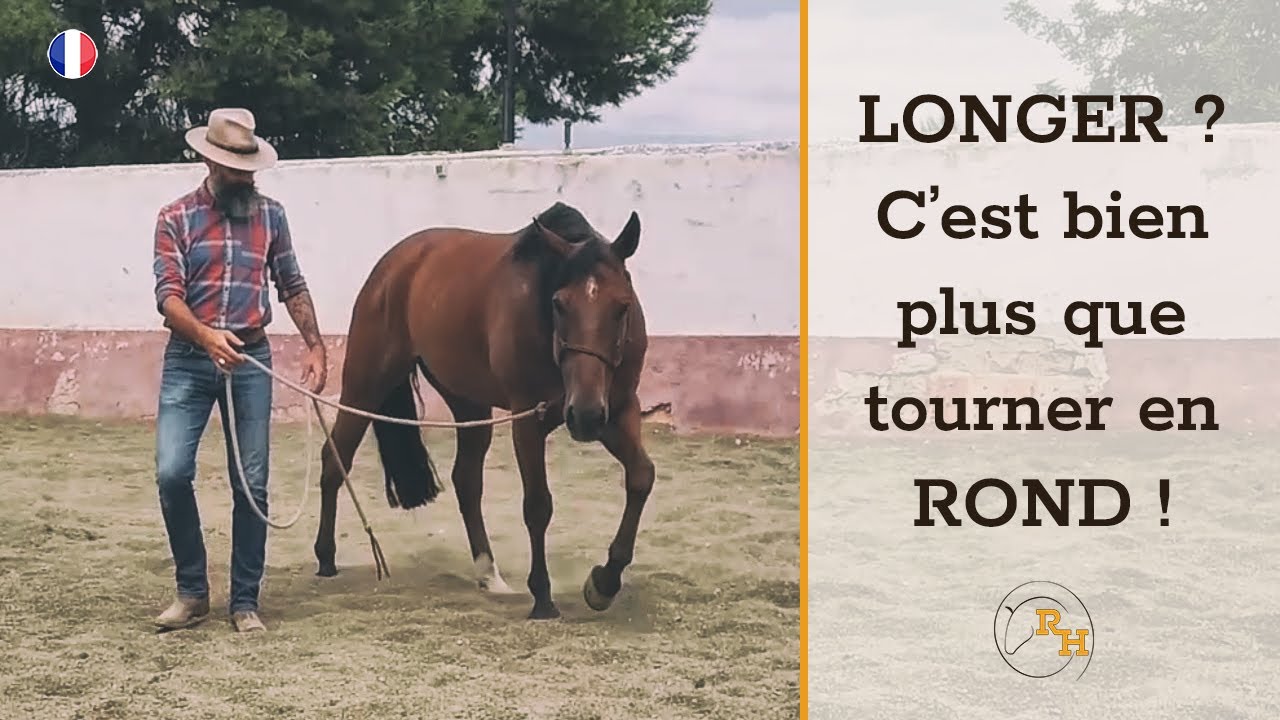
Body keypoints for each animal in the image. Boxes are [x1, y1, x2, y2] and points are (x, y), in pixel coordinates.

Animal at [312, 201, 655, 620]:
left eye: (622, 307)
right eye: (559, 304)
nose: (586, 415)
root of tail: (396, 262)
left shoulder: (618, 411)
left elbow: (641, 477)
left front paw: (604, 582)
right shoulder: (529, 420)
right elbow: (537, 505)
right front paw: (543, 597)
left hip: (468, 400)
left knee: (466, 481)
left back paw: (488, 573)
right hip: (365, 386)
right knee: (335, 457)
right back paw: (325, 557)